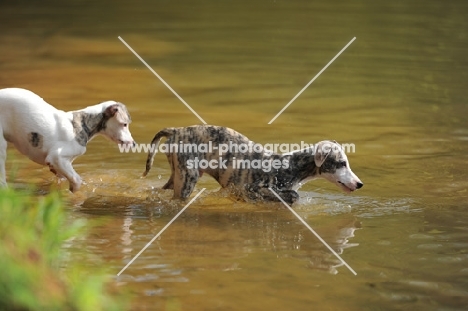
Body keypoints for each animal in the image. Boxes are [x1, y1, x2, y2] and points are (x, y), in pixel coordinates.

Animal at [0, 88, 135, 193]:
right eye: (124, 124)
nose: (134, 144)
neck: (82, 124)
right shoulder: (56, 157)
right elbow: (77, 180)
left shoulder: (60, 165)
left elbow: (63, 178)